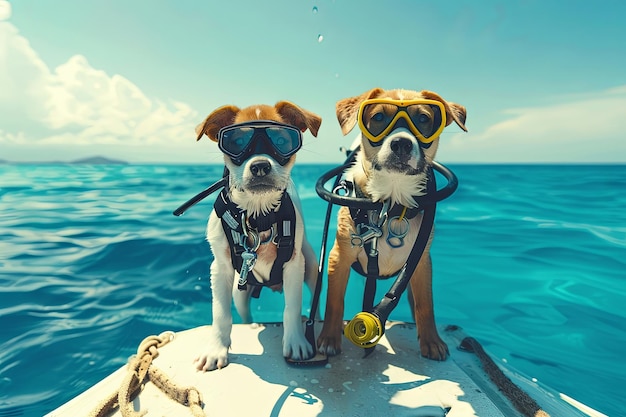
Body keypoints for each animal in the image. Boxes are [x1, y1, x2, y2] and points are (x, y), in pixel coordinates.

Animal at [194, 101, 322, 370]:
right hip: (238, 291)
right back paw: (251, 325)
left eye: (282, 140)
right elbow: (220, 314)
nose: (260, 166)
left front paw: (296, 342)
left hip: (312, 269)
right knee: (243, 313)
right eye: (237, 142)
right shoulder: (220, 269)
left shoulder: (294, 266)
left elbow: (292, 308)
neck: (257, 215)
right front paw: (216, 349)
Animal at [314, 86, 466, 360]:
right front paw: (328, 339)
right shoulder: (338, 257)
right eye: (378, 118)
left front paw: (432, 342)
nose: (401, 143)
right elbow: (334, 300)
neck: (392, 200)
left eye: (424, 119)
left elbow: (426, 305)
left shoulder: (421, 263)